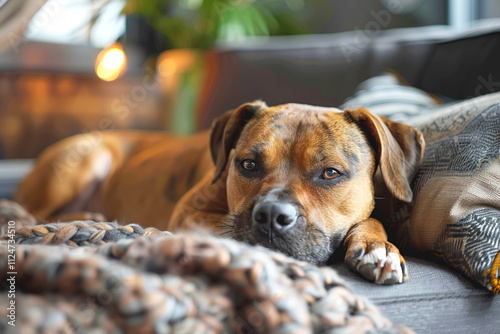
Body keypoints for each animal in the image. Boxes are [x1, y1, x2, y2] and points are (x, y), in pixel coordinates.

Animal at [13, 100, 424, 284]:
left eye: (330, 173)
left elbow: (371, 219)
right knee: (31, 212)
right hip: (84, 160)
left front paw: (377, 247)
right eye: (248, 165)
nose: (271, 216)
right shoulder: (189, 214)